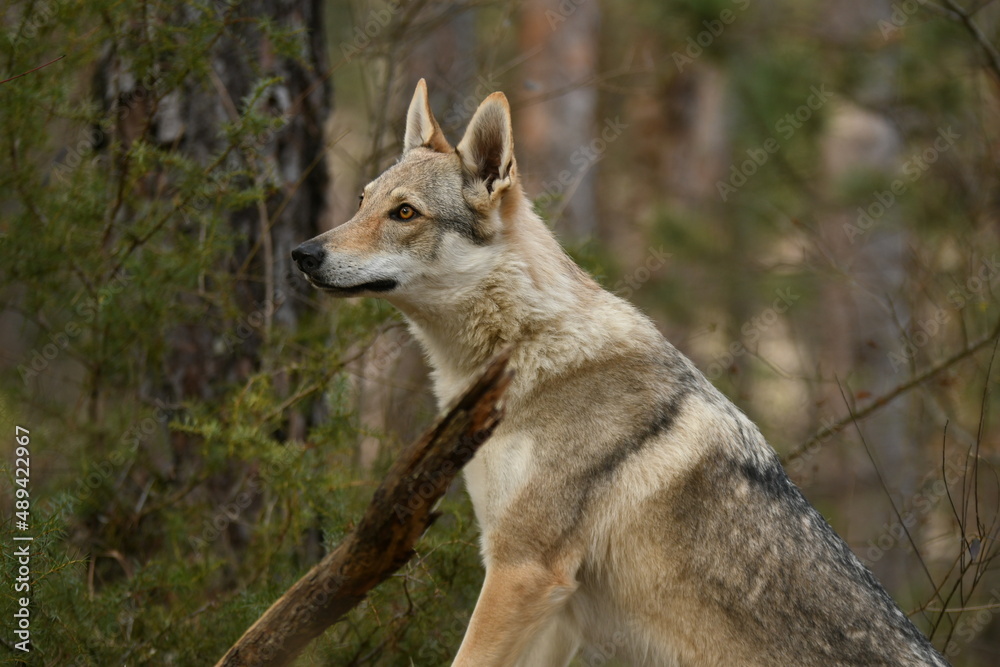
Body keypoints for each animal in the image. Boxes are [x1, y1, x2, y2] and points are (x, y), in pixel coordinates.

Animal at [292, 79, 950, 666]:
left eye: (405, 213)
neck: (527, 351)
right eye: (362, 201)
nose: (302, 253)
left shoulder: (523, 570)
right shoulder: (551, 609)